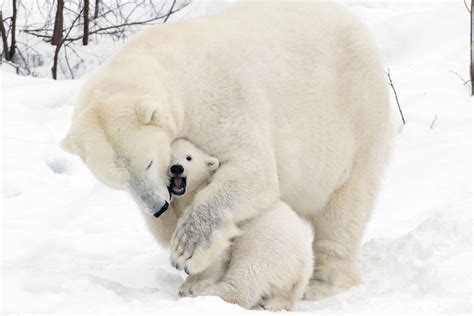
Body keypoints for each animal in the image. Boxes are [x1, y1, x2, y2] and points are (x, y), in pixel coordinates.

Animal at [156, 139, 314, 312]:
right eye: (169, 156)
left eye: (188, 157)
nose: (177, 168)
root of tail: (303, 265)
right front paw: (188, 283)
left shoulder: (221, 227)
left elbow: (215, 253)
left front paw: (193, 285)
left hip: (267, 246)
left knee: (247, 275)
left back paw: (210, 292)